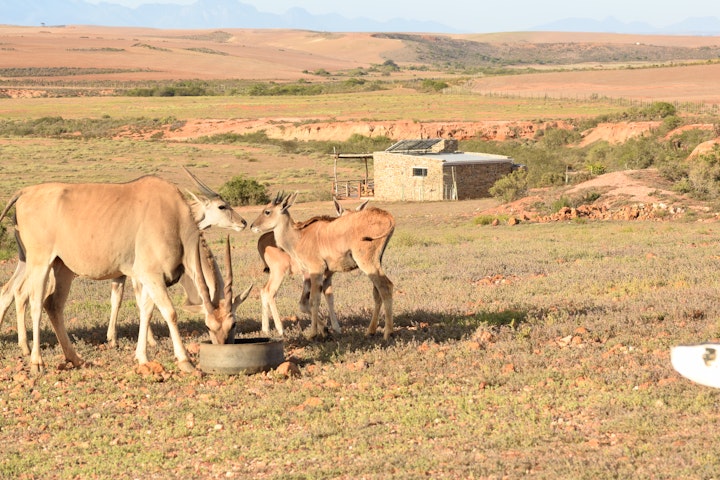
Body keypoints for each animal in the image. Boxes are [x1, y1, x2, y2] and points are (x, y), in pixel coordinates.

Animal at [0, 174, 250, 374]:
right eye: (209, 326)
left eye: (233, 324)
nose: (243, 222)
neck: (175, 217)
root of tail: (25, 193)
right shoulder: (149, 275)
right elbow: (169, 312)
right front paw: (184, 361)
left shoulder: (148, 278)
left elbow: (146, 310)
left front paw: (142, 357)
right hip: (40, 263)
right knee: (33, 301)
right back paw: (36, 362)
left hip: (63, 268)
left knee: (52, 304)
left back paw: (75, 358)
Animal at [252, 193, 394, 340]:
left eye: (267, 211)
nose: (252, 226)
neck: (299, 236)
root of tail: (386, 216)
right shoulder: (319, 274)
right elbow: (319, 299)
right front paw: (329, 329)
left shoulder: (317, 271)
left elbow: (313, 300)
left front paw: (315, 333)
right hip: (375, 263)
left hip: (366, 263)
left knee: (385, 287)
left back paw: (387, 332)